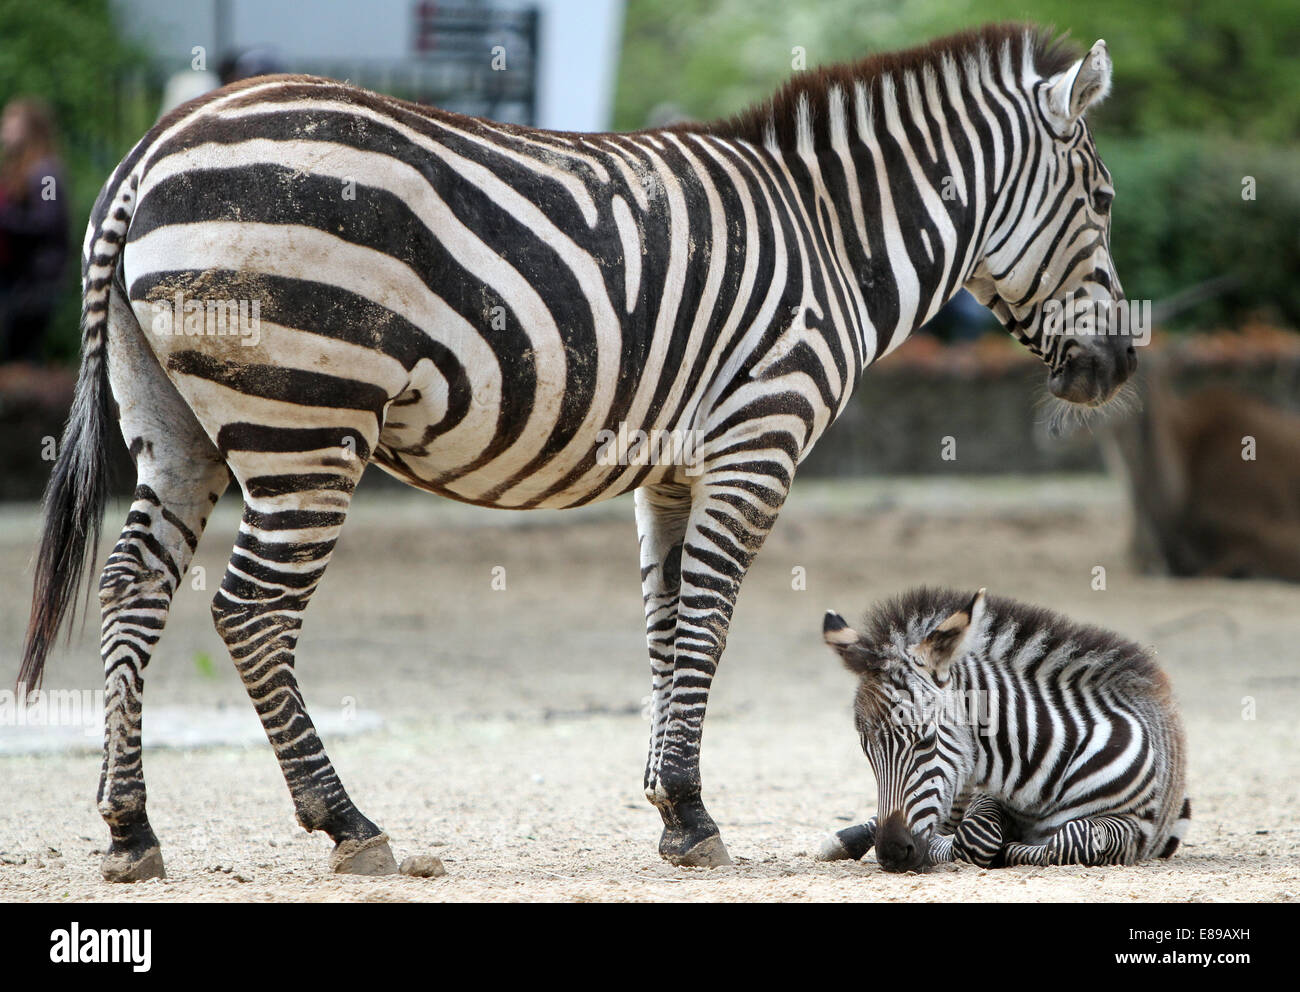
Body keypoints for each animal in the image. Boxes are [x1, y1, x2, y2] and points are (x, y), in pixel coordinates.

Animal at [22, 21, 1138, 878]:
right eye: (1104, 202)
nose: (1119, 364)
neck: (830, 235)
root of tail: (152, 146)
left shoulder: (673, 468)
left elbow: (666, 627)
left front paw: (670, 807)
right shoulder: (757, 439)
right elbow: (707, 625)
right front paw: (693, 813)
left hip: (173, 425)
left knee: (133, 587)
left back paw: (130, 829)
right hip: (308, 418)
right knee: (250, 612)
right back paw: (349, 825)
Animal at [821, 590, 1190, 868]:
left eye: (925, 740)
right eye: (867, 750)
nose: (892, 854)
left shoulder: (1133, 825)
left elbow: (1072, 840)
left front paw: (1010, 850)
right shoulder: (985, 794)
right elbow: (973, 835)